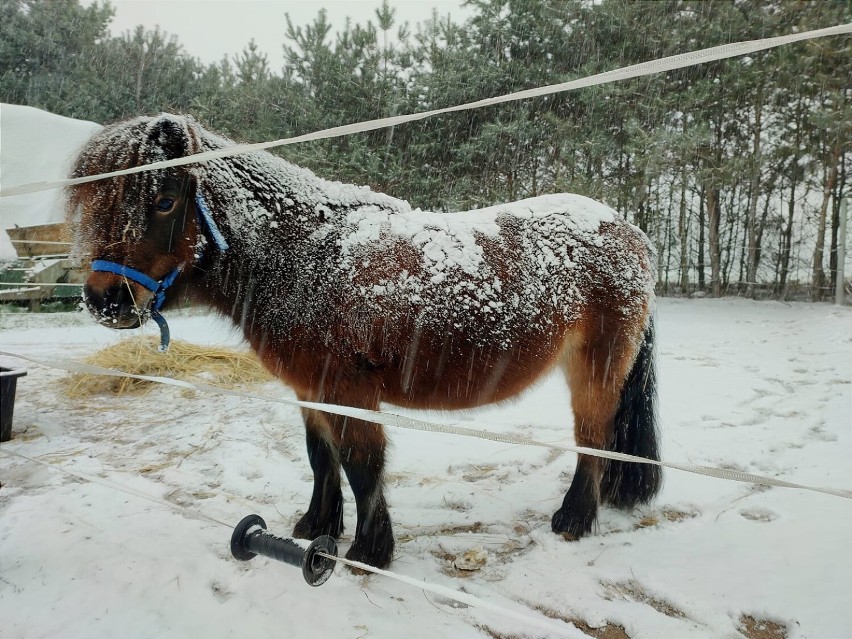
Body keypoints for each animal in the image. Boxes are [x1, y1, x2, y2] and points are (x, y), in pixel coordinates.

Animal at [70, 112, 664, 568]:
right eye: (98, 203)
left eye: (165, 199)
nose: (106, 301)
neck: (302, 254)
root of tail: (629, 231)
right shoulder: (310, 390)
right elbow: (321, 457)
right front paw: (316, 524)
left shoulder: (349, 390)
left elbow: (361, 463)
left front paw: (368, 551)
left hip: (594, 368)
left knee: (594, 437)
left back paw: (573, 519)